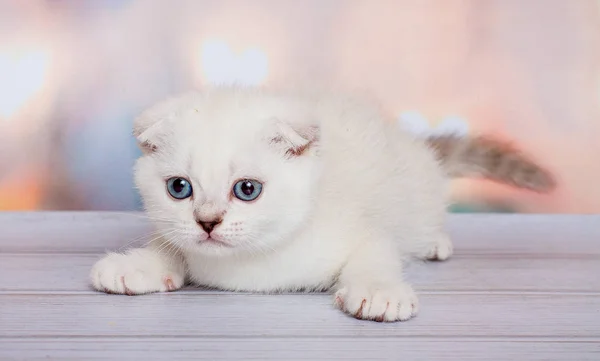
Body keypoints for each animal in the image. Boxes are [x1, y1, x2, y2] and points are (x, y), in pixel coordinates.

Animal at [89, 86, 552, 320]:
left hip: (416, 192)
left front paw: (379, 292)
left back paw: (435, 242)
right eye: (179, 188)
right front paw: (138, 264)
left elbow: (376, 253)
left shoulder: (363, 228)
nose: (207, 222)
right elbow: (169, 243)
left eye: (247, 189)